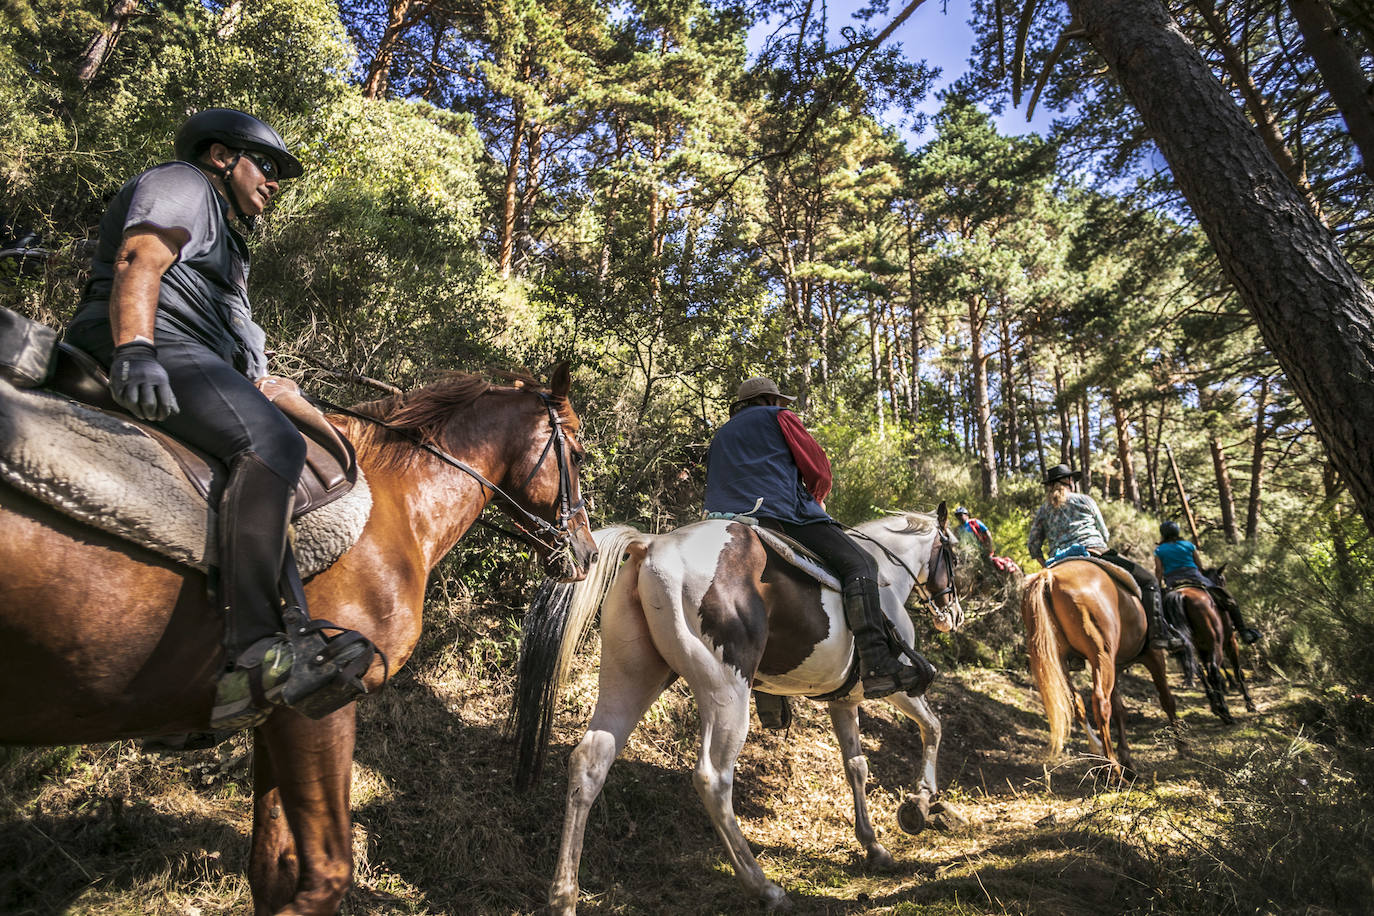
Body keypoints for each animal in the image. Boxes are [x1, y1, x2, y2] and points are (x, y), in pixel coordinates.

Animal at [1, 365, 601, 916]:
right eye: (576, 453)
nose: (588, 553)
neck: (399, 503)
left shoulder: (272, 719)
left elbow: (271, 871)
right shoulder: (318, 708)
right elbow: (324, 878)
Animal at [516, 505, 967, 911]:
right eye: (954, 556)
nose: (954, 615)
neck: (887, 574)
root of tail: (652, 544)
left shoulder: (844, 700)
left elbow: (856, 766)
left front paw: (874, 846)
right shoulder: (897, 686)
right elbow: (933, 727)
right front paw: (921, 802)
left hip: (631, 676)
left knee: (590, 762)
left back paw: (563, 896)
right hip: (726, 692)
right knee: (713, 779)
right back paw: (764, 887)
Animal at [1022, 560, 1181, 780]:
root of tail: (1049, 577)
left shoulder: (1114, 665)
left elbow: (1120, 711)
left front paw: (1128, 761)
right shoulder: (1153, 655)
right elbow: (1167, 700)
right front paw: (1183, 747)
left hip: (1063, 660)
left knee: (1077, 702)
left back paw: (1100, 755)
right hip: (1101, 655)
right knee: (1100, 703)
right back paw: (1112, 768)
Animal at [1170, 579, 1258, 725]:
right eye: (1221, 578)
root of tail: (1181, 596)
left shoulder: (1202, 649)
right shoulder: (1231, 642)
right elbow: (1237, 671)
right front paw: (1249, 703)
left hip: (1192, 646)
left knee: (1200, 671)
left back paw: (1217, 707)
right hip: (1216, 643)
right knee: (1213, 671)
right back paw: (1226, 713)